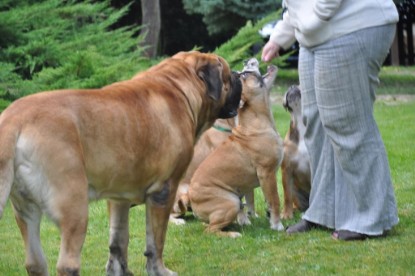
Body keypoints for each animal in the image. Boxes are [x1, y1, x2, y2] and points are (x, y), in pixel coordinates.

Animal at [0, 50, 244, 274]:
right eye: (228, 75)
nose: (240, 74)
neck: (179, 87)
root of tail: (13, 120)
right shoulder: (164, 191)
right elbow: (156, 242)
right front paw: (159, 270)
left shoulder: (119, 198)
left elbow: (118, 241)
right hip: (73, 206)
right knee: (67, 264)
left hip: (25, 210)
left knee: (34, 262)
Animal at [189, 58, 284, 237]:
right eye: (245, 74)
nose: (247, 61)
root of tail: (192, 201)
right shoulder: (267, 174)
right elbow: (275, 200)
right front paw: (277, 225)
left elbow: (264, 200)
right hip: (230, 202)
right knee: (210, 230)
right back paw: (232, 234)